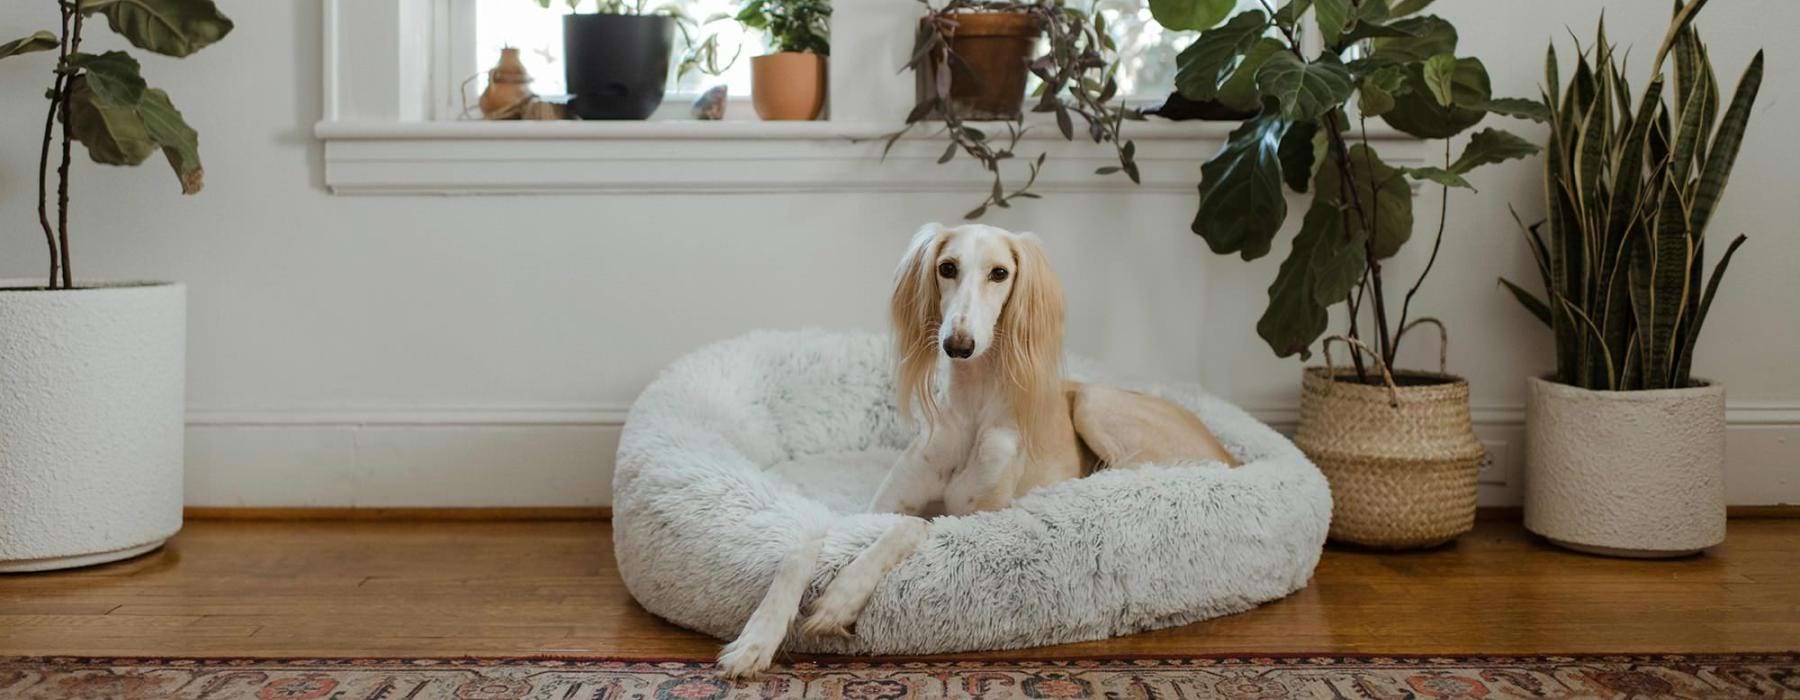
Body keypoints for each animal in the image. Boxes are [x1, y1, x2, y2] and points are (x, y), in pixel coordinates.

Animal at [716, 224, 1238, 676]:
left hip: (1096, 403)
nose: (958, 344)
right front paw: (756, 639)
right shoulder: (874, 509)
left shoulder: (977, 521)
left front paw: (840, 599)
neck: (970, 414)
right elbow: (803, 546)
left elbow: (913, 526)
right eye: (947, 267)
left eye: (1000, 273)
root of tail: (1231, 455)